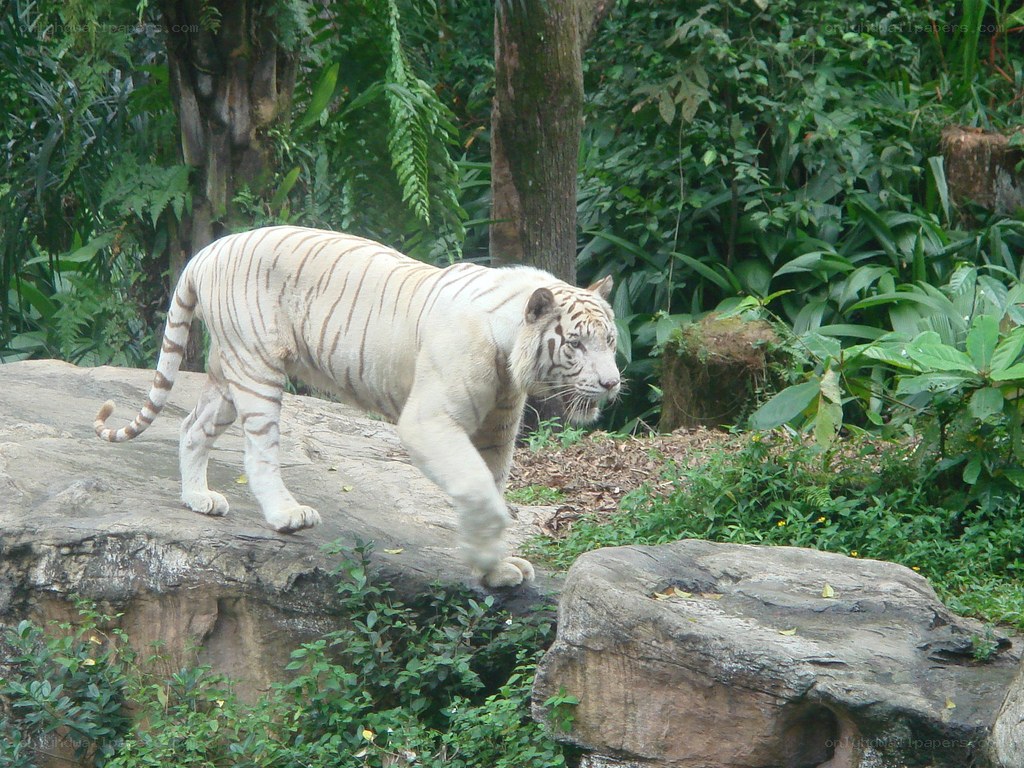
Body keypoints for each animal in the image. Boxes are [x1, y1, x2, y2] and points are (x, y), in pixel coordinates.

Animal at [94, 225, 620, 588]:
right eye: (576, 343)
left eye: (611, 341)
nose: (613, 383)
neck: (510, 351)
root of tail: (207, 250)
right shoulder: (429, 421)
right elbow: (477, 489)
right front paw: (483, 559)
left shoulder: (496, 429)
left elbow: (489, 490)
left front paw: (497, 568)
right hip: (257, 365)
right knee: (258, 452)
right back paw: (286, 515)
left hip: (230, 372)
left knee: (191, 426)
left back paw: (199, 499)